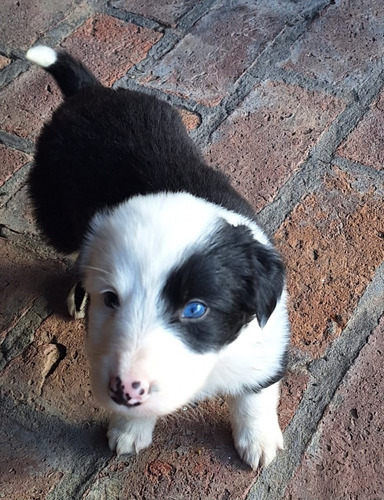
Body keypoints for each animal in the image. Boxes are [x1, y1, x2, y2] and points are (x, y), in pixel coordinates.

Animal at [25, 45, 290, 470]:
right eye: (111, 300)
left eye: (195, 309)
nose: (124, 391)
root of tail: (92, 91)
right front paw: (129, 430)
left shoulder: (266, 340)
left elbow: (256, 394)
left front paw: (259, 441)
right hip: (57, 214)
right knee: (77, 249)